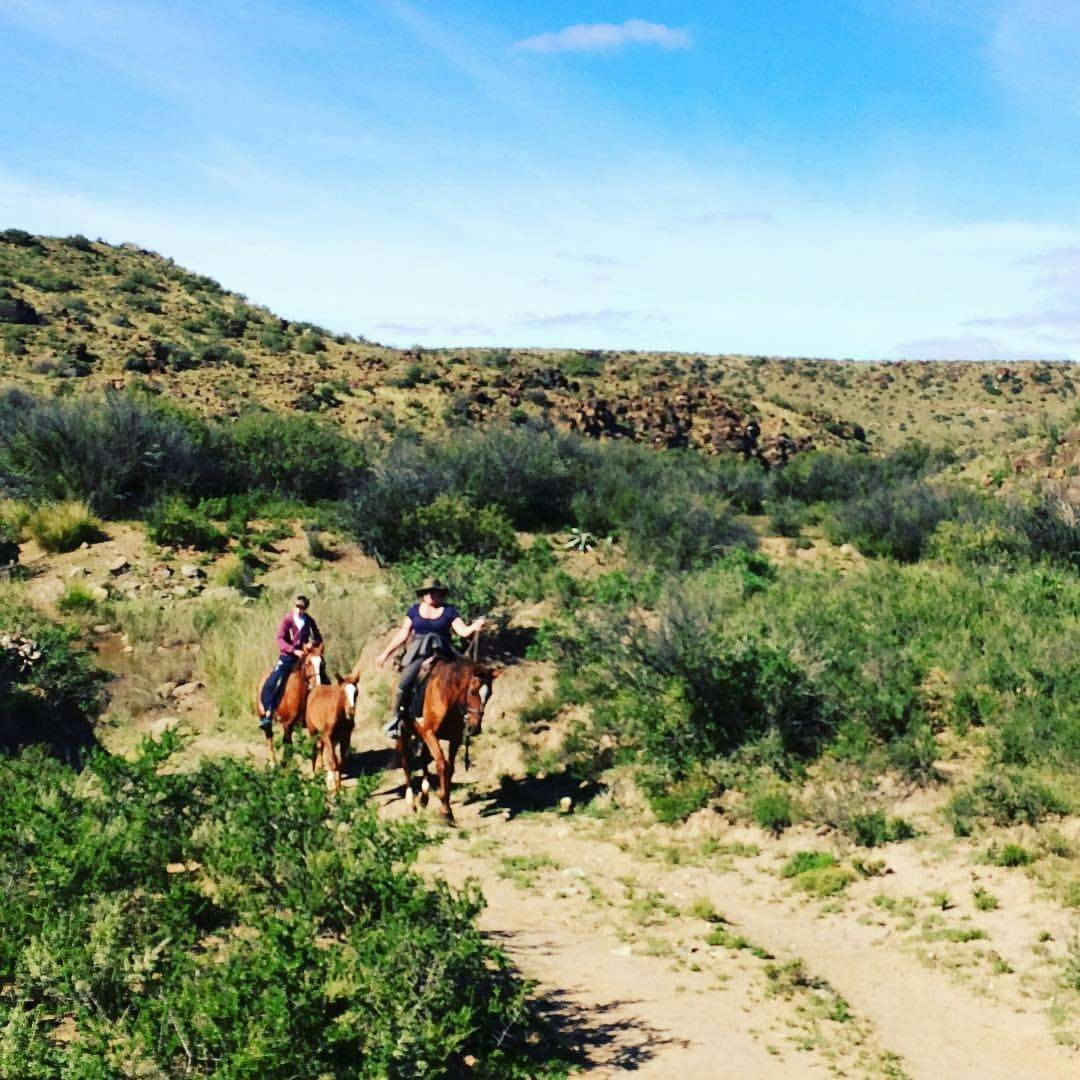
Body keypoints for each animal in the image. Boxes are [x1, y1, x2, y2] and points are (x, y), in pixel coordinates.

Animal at [306, 665, 360, 794]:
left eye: (356, 693)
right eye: (342, 692)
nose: (350, 712)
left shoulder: (345, 738)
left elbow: (340, 762)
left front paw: (338, 787)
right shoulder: (328, 737)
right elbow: (334, 762)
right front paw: (334, 789)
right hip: (313, 732)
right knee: (315, 751)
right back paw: (315, 775)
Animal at [399, 652, 498, 820]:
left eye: (489, 694)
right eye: (472, 691)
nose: (474, 728)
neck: (448, 696)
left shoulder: (454, 738)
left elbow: (450, 768)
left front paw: (446, 806)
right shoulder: (430, 733)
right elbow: (442, 765)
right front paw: (445, 810)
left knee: (423, 759)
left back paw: (424, 797)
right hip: (404, 733)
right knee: (405, 761)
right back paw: (411, 801)